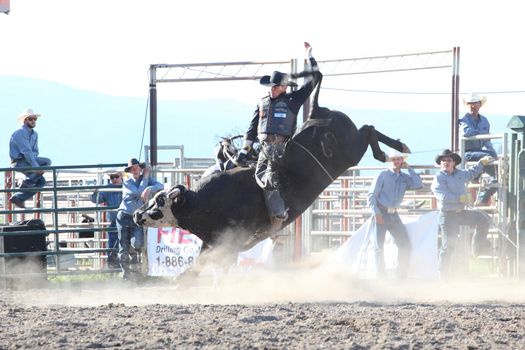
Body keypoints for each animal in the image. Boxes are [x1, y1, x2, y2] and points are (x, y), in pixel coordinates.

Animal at [132, 72, 410, 272]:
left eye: (159, 202)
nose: (136, 214)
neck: (201, 203)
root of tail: (317, 111)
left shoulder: (229, 245)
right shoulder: (216, 244)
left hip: (350, 151)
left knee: (369, 130)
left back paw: (394, 150)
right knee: (368, 128)